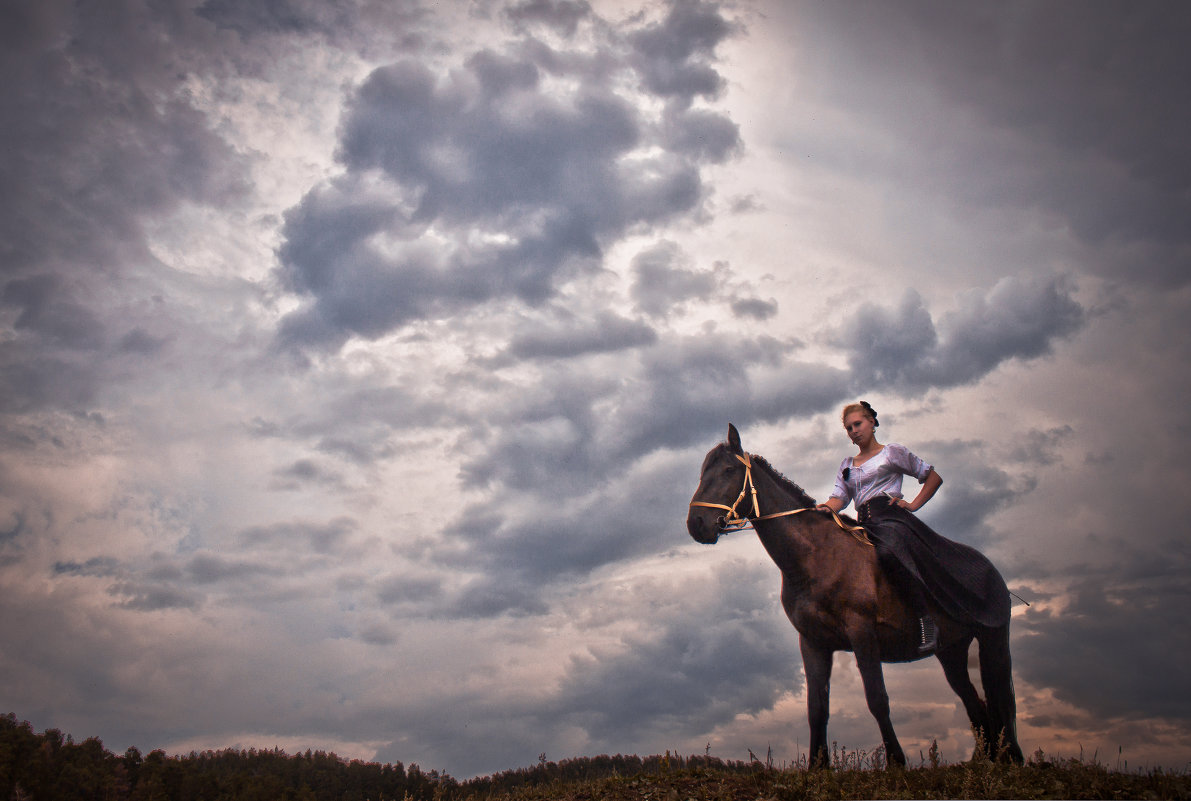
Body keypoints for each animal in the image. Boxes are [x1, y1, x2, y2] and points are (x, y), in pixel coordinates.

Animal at [690, 423, 1024, 766]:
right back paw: (988, 760)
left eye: (728, 470)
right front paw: (818, 766)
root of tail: (990, 569)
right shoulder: (813, 643)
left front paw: (896, 762)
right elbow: (817, 708)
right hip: (951, 652)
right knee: (975, 705)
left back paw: (1008, 757)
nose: (696, 524)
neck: (816, 557)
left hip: (994, 640)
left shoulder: (862, 634)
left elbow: (877, 699)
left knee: (998, 697)